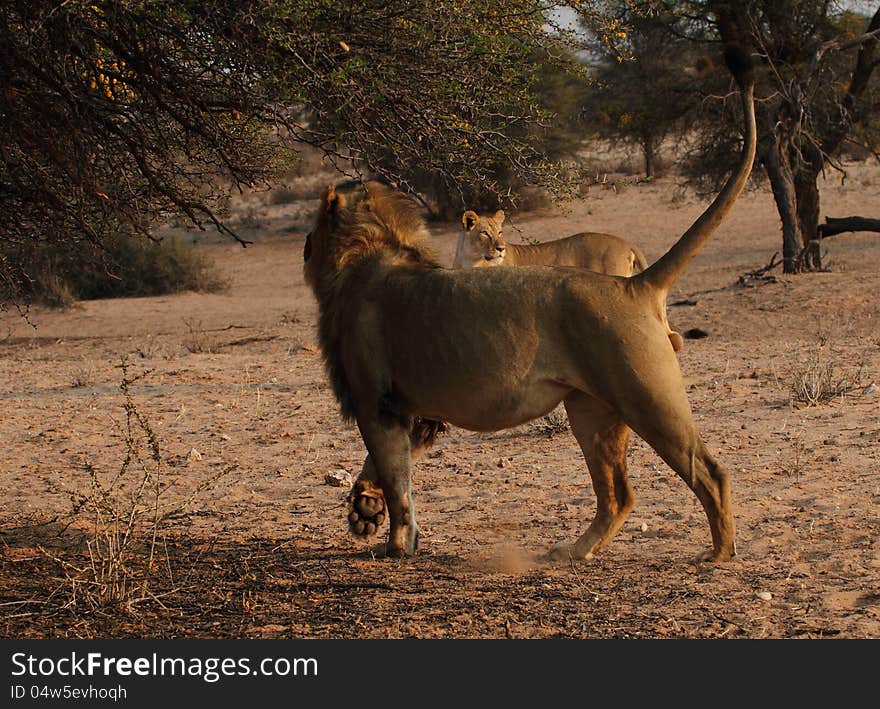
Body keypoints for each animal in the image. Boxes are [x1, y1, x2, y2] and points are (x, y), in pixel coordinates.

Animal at [304, 45, 756, 564]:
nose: (304, 246)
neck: (366, 250)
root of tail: (634, 284)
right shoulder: (413, 411)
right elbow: (382, 466)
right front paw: (364, 508)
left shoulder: (374, 401)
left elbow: (397, 481)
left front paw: (396, 543)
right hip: (592, 412)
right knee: (619, 494)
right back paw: (574, 550)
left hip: (649, 398)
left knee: (709, 471)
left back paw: (719, 553)